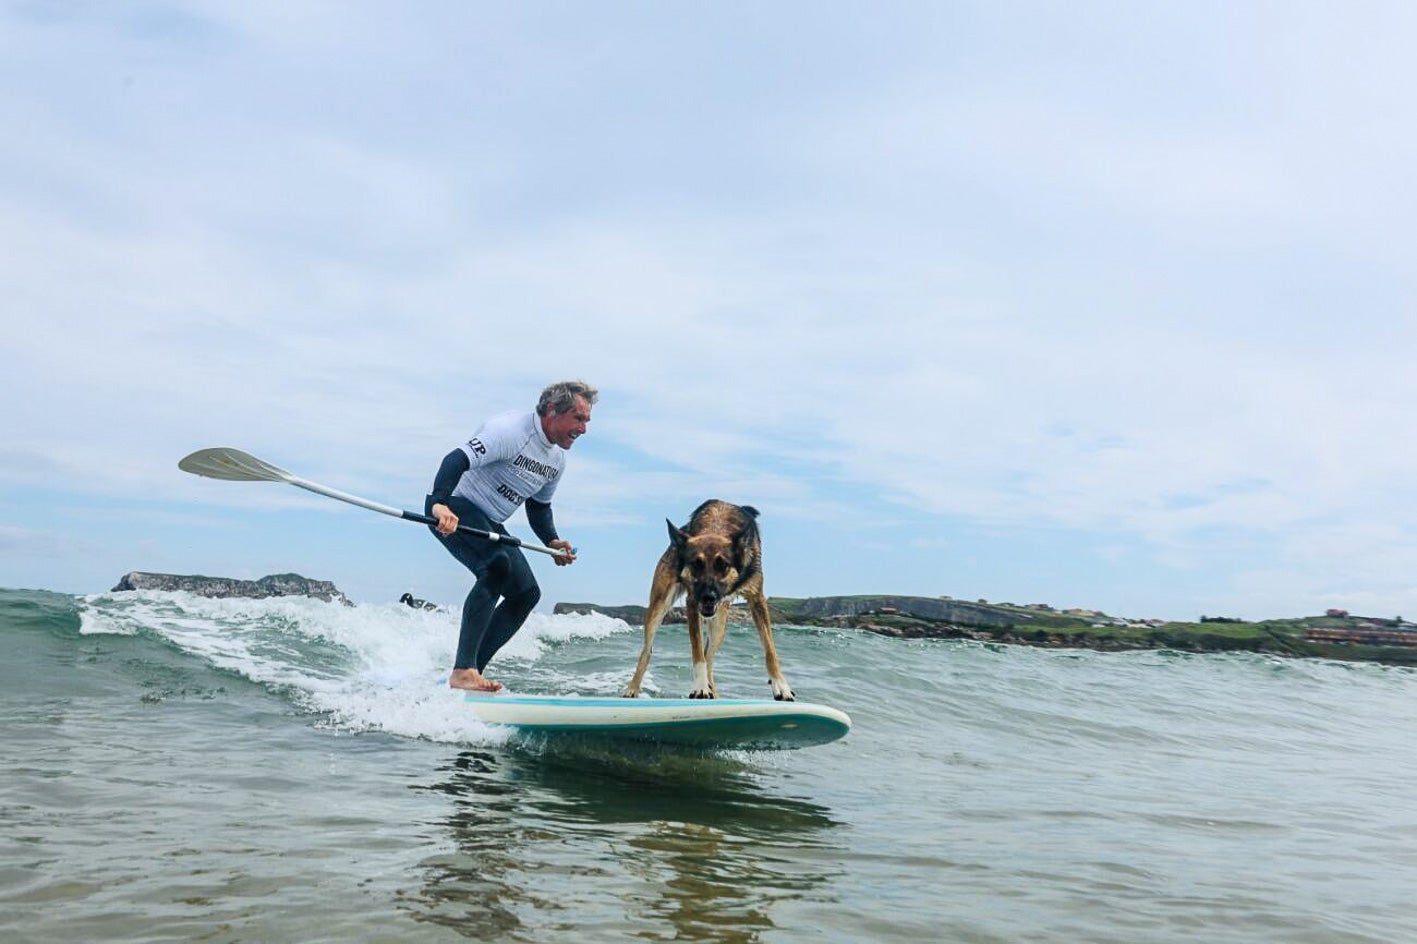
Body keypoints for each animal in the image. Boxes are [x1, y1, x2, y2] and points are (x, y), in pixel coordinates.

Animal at [623, 498, 799, 697]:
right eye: (696, 564)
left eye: (723, 565)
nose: (708, 597)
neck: (717, 526)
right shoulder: (692, 601)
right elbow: (697, 651)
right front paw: (700, 686)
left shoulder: (757, 599)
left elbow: (770, 648)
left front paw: (781, 685)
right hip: (658, 605)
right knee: (647, 651)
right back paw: (632, 688)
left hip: (719, 627)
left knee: (710, 656)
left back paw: (713, 691)